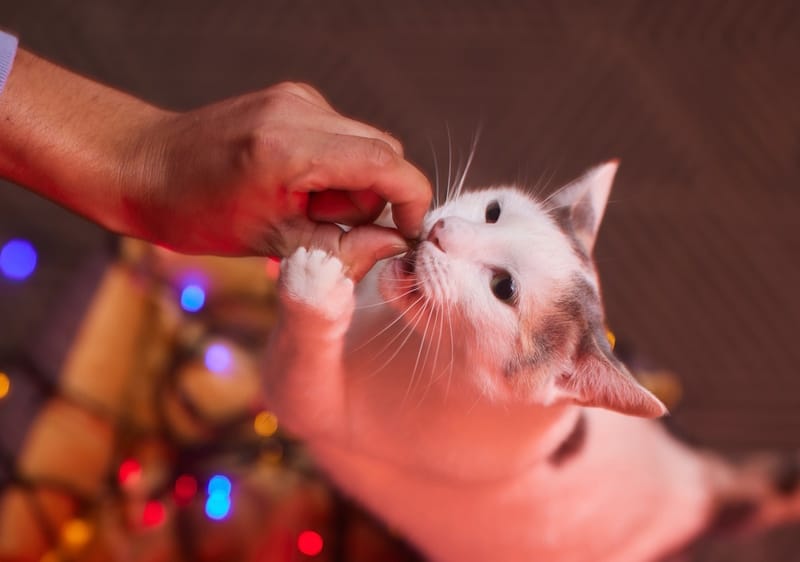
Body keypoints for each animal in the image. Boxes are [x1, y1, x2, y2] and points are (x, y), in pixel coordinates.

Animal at [262, 159, 800, 560]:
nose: (440, 232)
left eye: (504, 288)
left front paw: (315, 284)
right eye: (493, 211)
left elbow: (301, 378)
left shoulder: (333, 415)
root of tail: (708, 482)